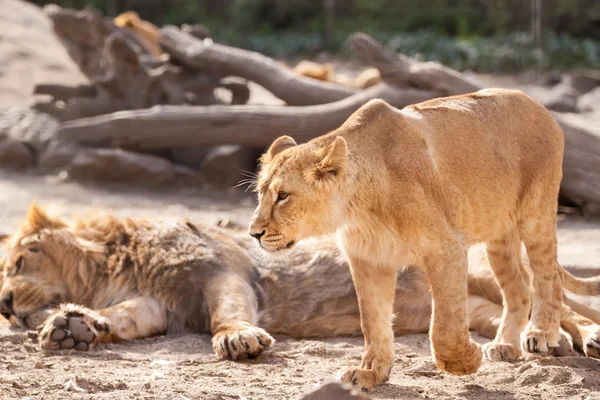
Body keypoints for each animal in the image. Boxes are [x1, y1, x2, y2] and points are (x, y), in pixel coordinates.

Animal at [0, 206, 596, 366]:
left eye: (19, 260)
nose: (4, 305)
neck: (118, 262)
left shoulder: (223, 273)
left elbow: (227, 315)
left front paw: (239, 341)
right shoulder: (158, 303)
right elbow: (124, 318)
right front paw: (73, 327)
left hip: (480, 268)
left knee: (559, 304)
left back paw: (573, 340)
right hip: (472, 308)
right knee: (514, 315)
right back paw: (513, 345)